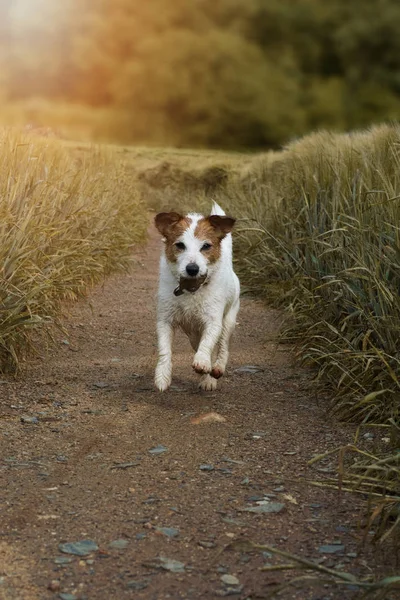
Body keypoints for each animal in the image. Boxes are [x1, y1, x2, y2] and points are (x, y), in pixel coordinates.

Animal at [155, 202, 239, 394]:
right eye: (180, 245)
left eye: (206, 246)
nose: (192, 268)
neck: (192, 288)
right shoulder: (165, 321)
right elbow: (164, 349)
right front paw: (162, 376)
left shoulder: (213, 322)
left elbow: (207, 345)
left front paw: (202, 361)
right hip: (193, 335)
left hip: (229, 320)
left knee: (222, 347)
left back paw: (215, 370)